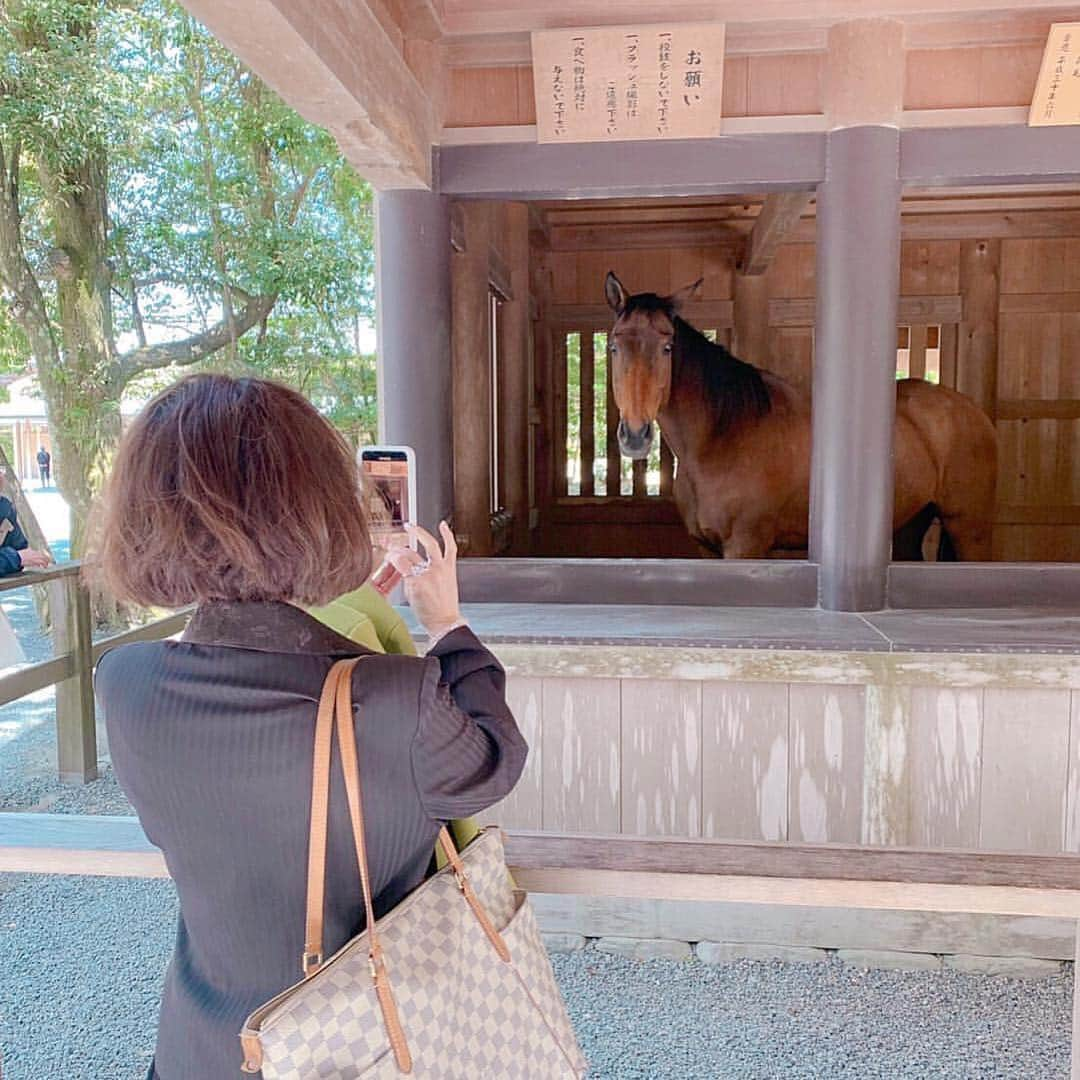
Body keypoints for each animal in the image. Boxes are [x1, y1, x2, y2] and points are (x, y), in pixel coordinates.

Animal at [604, 270, 997, 561]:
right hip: (908, 524)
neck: (722, 436)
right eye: (613, 346)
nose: (635, 435)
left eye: (667, 347)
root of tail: (971, 410)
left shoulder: (744, 546)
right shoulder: (707, 550)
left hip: (970, 529)